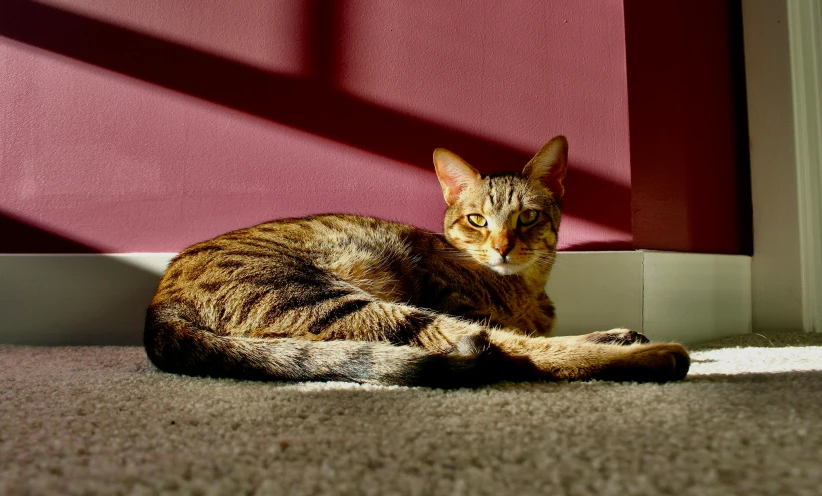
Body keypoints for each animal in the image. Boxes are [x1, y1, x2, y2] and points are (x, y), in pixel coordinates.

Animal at [145, 137, 692, 388]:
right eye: (477, 219)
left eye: (529, 217)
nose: (502, 246)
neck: (525, 289)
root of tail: (158, 309)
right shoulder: (445, 291)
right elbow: (512, 336)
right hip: (331, 297)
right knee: (503, 350)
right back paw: (650, 353)